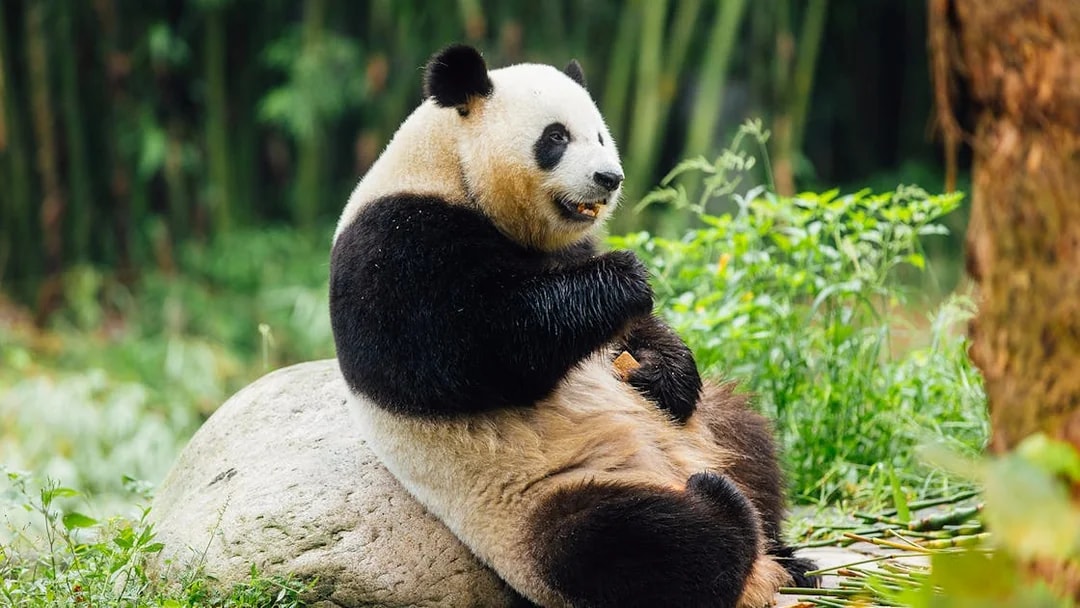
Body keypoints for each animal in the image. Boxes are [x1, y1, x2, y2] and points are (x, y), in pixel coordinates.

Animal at [329, 45, 815, 608]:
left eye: (601, 135)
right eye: (556, 137)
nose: (610, 178)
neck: (451, 169)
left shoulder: (570, 244)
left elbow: (633, 335)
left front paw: (663, 371)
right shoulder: (393, 244)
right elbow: (470, 351)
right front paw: (625, 278)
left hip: (707, 428)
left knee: (749, 437)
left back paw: (790, 557)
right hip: (537, 504)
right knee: (631, 544)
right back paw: (721, 508)